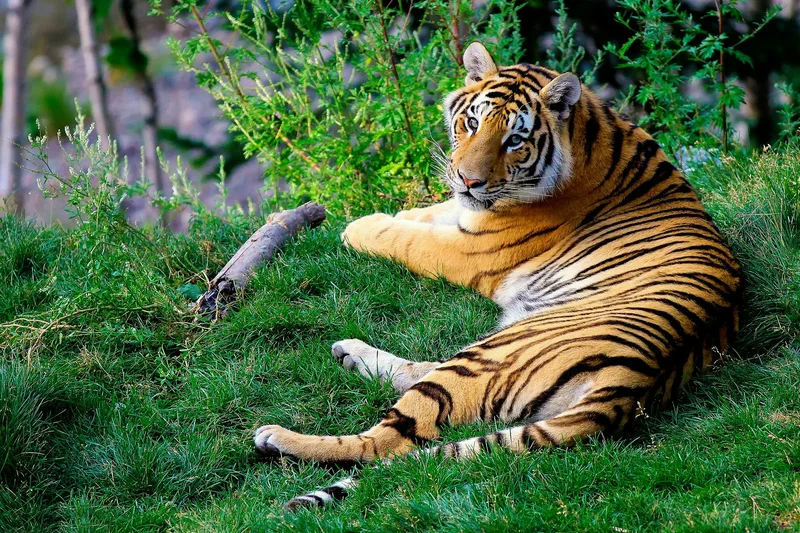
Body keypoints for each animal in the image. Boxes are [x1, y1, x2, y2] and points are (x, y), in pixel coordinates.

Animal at [253, 41, 742, 510]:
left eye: (514, 140)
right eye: (471, 123)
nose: (468, 180)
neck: (589, 135)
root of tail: (634, 384)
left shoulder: (470, 249)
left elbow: (407, 239)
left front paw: (359, 226)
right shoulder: (466, 214)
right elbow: (429, 213)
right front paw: (397, 212)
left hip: (492, 353)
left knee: (387, 441)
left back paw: (278, 437)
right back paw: (349, 353)